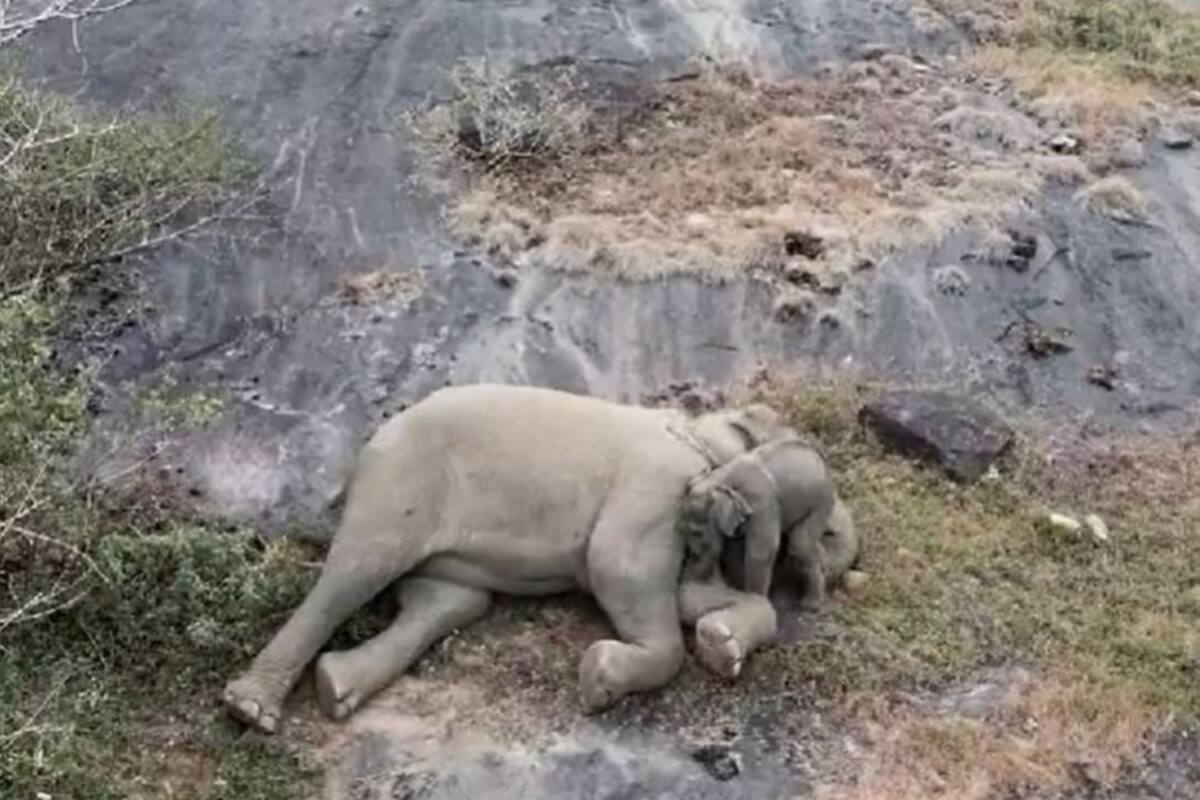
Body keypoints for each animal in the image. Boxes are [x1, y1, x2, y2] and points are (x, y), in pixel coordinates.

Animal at [222, 384, 797, 733]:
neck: (697, 429)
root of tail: (364, 453)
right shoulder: (652, 484)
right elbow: (618, 567)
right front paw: (598, 680)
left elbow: (679, 594)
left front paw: (722, 645)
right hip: (401, 482)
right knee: (358, 570)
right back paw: (251, 710)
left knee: (447, 602)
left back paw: (335, 686)